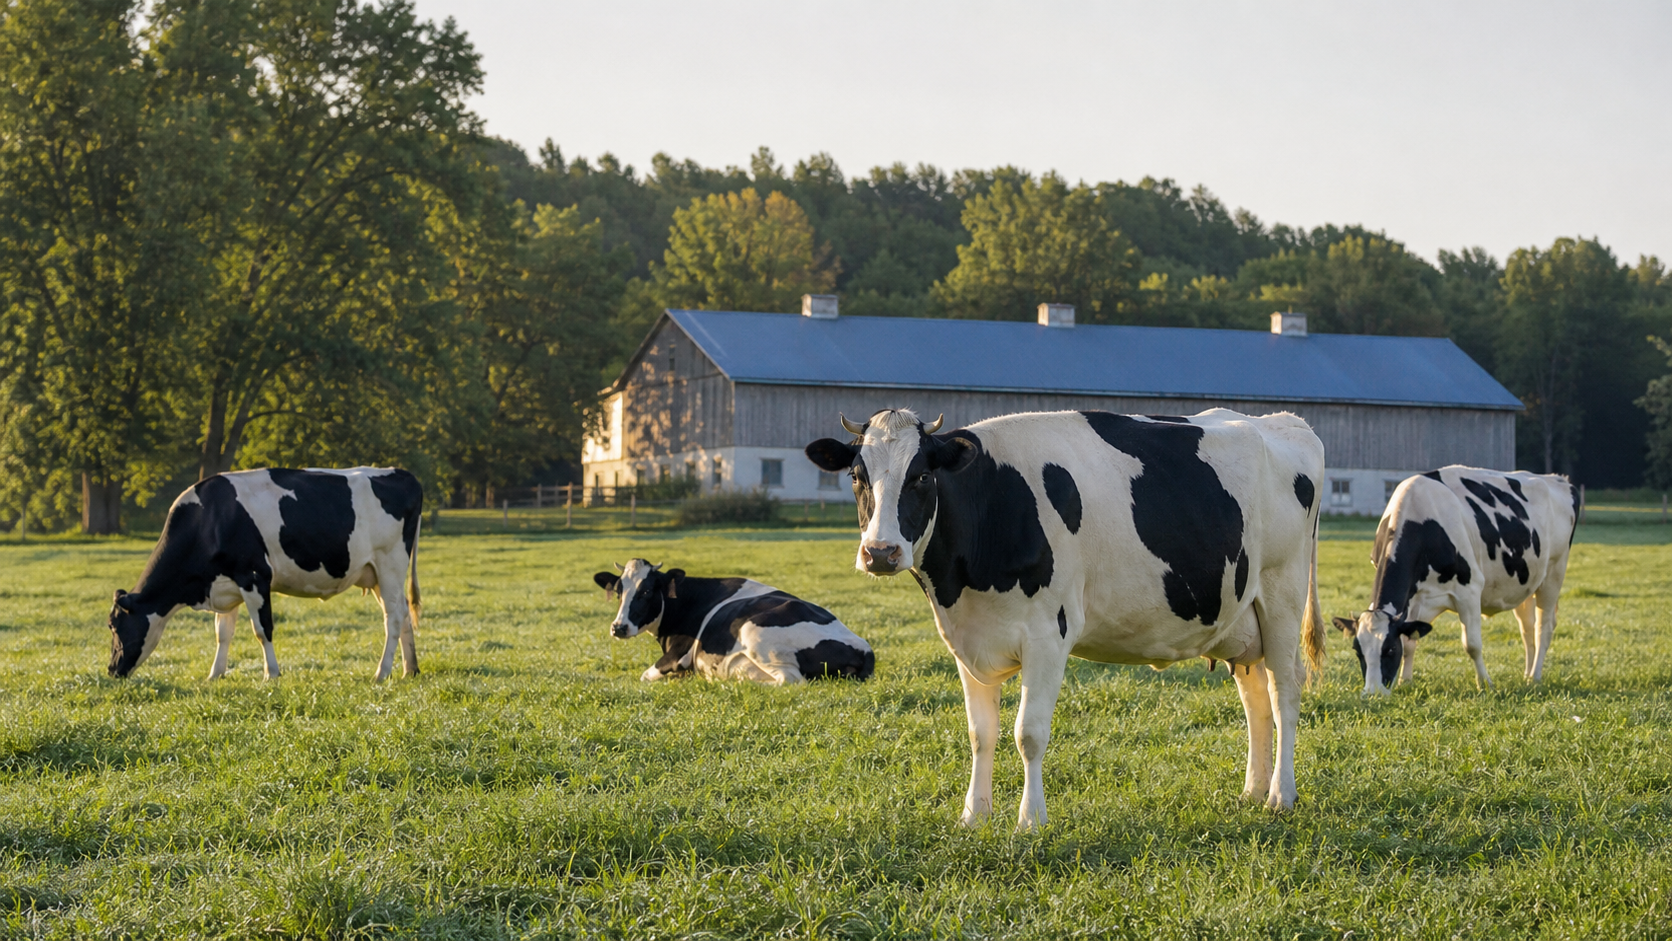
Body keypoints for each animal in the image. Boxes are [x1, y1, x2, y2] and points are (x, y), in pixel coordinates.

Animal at [107, 467, 422, 682]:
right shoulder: (227, 584)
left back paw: (382, 673)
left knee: (393, 618)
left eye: (113, 625)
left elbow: (262, 629)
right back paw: (410, 670)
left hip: (390, 562)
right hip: (376, 574)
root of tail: (403, 473)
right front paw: (215, 675)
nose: (111, 670)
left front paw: (271, 674)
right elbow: (223, 633)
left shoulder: (254, 576)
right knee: (404, 612)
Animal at [593, 559, 874, 684]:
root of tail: (864, 648)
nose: (618, 627)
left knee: (789, 680)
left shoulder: (678, 655)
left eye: (647, 591)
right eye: (619, 592)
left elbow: (645, 676)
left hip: (755, 633)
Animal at [805, 407, 1325, 829]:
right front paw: (974, 815)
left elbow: (1028, 734)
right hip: (1240, 617)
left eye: (920, 477)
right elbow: (980, 734)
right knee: (1255, 700)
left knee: (1284, 693)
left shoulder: (1047, 635)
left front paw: (1030, 821)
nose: (880, 552)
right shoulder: (967, 639)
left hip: (1281, 595)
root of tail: (1285, 422)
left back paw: (1281, 795)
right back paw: (1253, 791)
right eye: (857, 476)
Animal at [1332, 465, 1577, 695]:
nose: (1372, 693)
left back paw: (1535, 677)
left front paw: (1485, 684)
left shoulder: (1469, 590)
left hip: (1554, 573)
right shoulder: (1415, 597)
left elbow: (1472, 645)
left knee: (1543, 628)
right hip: (1524, 583)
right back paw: (1526, 675)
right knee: (1527, 629)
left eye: (1390, 649)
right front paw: (1405, 681)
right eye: (1357, 650)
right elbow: (1410, 641)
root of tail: (1558, 479)